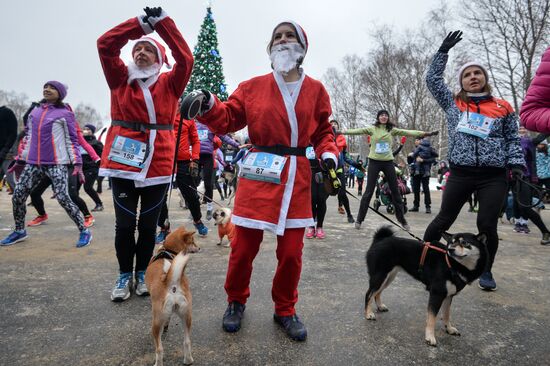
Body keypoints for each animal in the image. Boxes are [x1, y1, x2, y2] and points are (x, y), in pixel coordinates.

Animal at [144, 227, 201, 364]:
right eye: (192, 241)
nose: (199, 248)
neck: (168, 250)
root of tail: (172, 282)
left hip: (156, 322)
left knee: (159, 349)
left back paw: (158, 363)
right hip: (187, 316)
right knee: (187, 341)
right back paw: (188, 360)